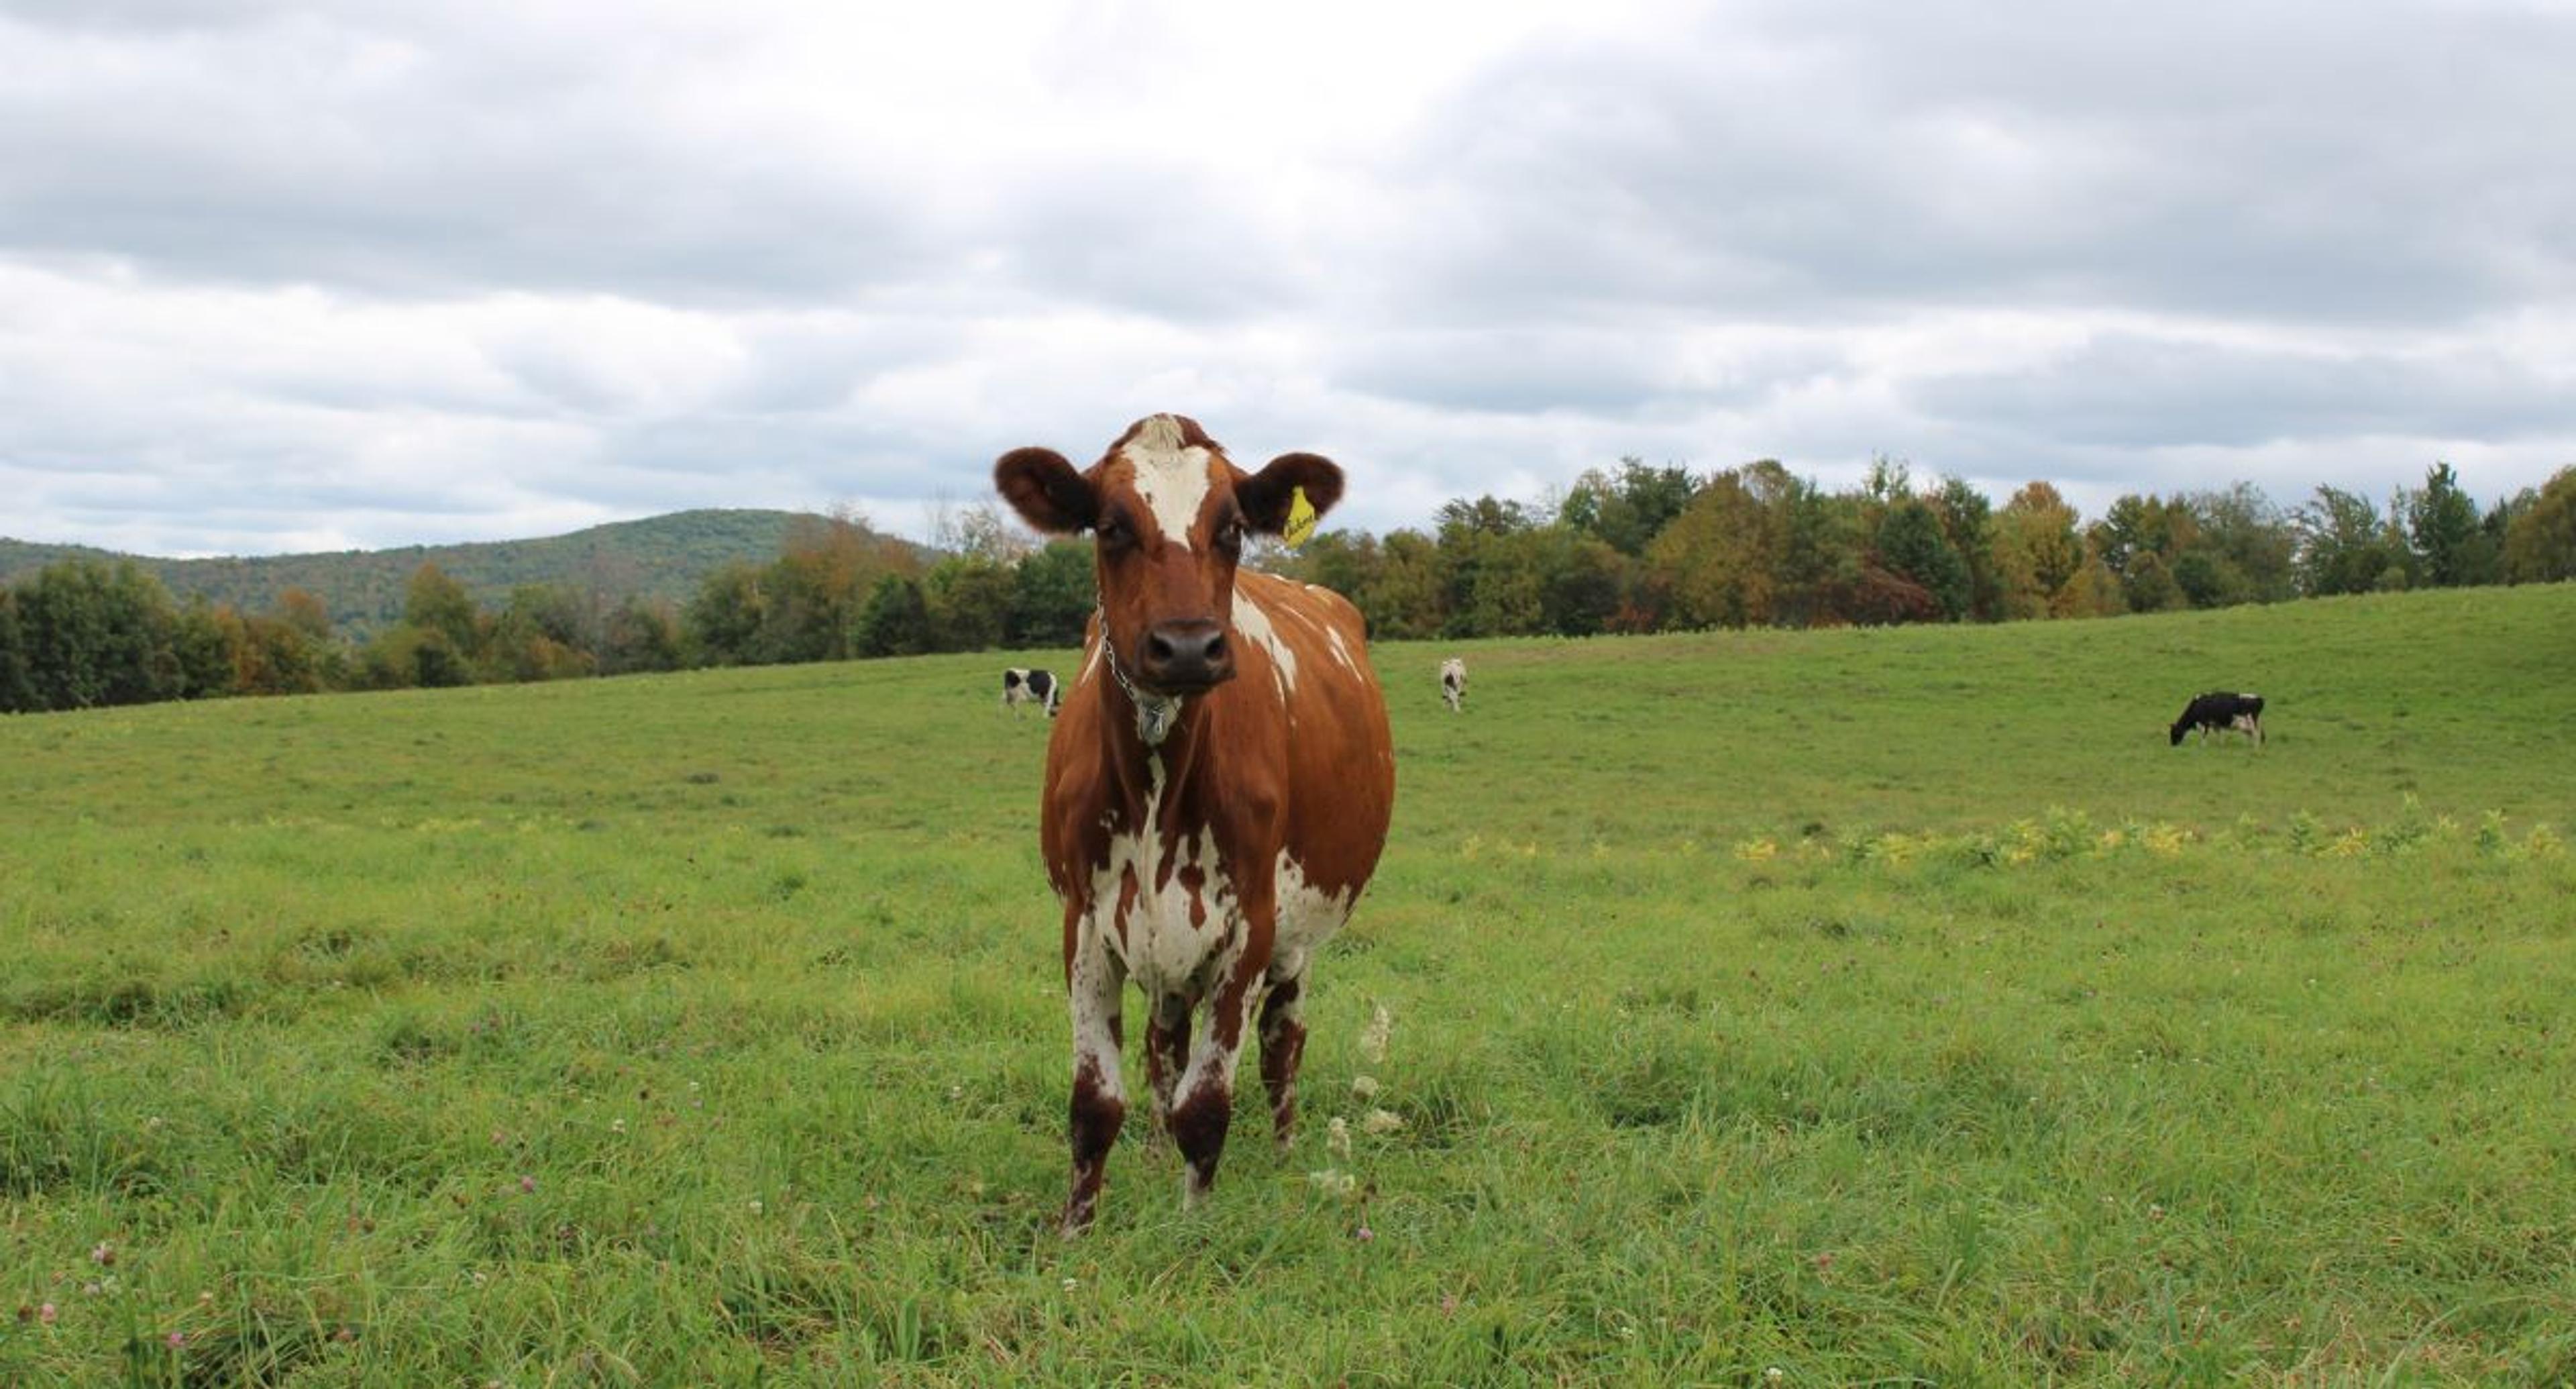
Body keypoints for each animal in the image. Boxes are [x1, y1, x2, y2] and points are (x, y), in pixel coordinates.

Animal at [989, 415, 1401, 1237]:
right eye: (1112, 525)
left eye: (1233, 528)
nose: (1186, 646)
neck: (1157, 779)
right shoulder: (1085, 922)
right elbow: (1096, 1104)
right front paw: (1075, 1232)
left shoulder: (1252, 926)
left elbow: (1206, 1106)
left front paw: (1194, 1224)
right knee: (1164, 1045)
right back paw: (1152, 1155)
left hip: (1298, 939)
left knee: (1282, 1043)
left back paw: (1280, 1150)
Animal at [2163, 695, 2267, 752]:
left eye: (2175, 733)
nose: (2173, 745)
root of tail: (2259, 698)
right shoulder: (2215, 724)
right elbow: (2219, 734)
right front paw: (2221, 745)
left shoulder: (2205, 723)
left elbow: (2203, 735)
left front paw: (2203, 746)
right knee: (2251, 734)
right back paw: (2249, 746)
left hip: (2252, 722)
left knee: (2256, 734)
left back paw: (2256, 748)